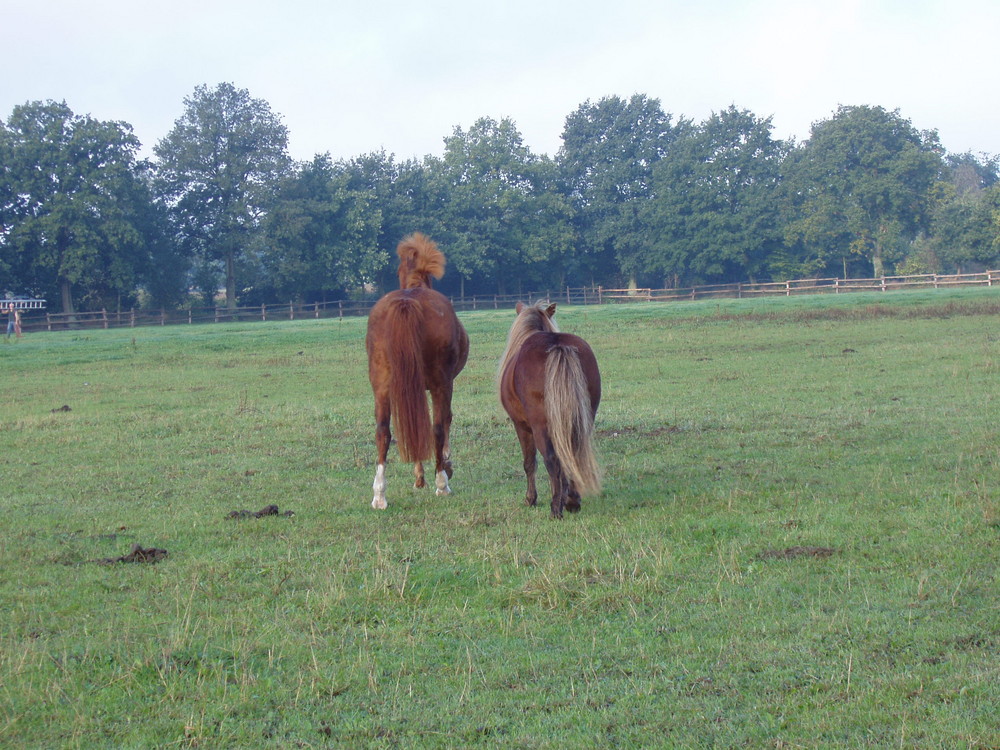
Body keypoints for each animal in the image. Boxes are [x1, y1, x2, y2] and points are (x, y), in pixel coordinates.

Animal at [364, 235, 468, 512]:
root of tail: (407, 301)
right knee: (437, 427)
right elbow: (443, 423)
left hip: (382, 387)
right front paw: (442, 466)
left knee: (383, 432)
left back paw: (379, 495)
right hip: (441, 384)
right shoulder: (443, 385)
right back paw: (442, 484)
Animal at [500, 302, 600, 520]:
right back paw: (572, 501)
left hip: (540, 427)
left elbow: (530, 463)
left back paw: (556, 509)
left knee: (551, 460)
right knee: (574, 453)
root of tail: (558, 345)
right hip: (581, 420)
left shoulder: (522, 426)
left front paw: (531, 499)